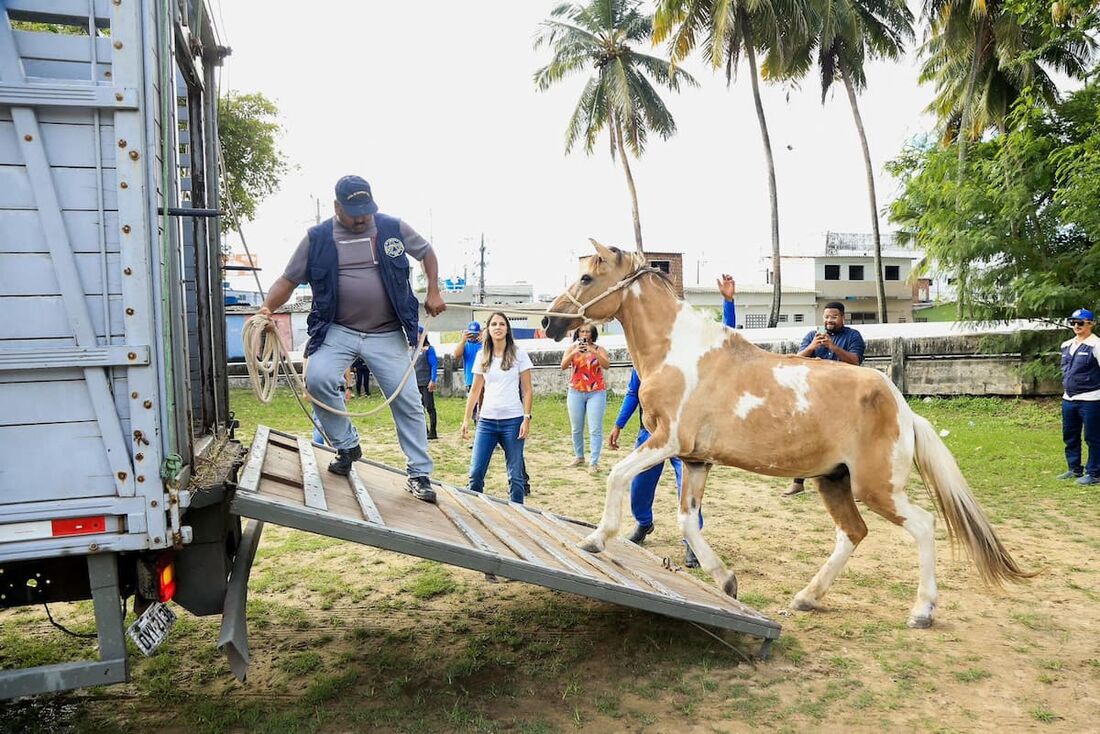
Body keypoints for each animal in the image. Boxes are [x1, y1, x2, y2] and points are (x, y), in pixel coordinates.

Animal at [541, 239, 1029, 625]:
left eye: (586, 277)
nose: (548, 323)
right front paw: (728, 581)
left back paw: (922, 611)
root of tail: (902, 407)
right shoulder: (695, 460)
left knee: (924, 526)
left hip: (877, 488)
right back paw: (806, 598)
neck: (680, 355)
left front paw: (595, 539)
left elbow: (617, 475)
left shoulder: (668, 442)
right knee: (853, 533)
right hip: (833, 480)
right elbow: (689, 522)